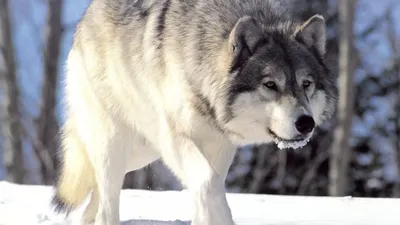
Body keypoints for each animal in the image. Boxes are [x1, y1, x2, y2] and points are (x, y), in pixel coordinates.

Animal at [50, 0, 338, 224]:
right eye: (270, 85)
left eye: (306, 84)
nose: (306, 124)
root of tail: (85, 18)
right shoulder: (176, 139)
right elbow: (209, 184)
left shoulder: (220, 145)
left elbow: (208, 189)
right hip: (117, 145)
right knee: (106, 202)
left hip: (142, 153)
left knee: (95, 196)